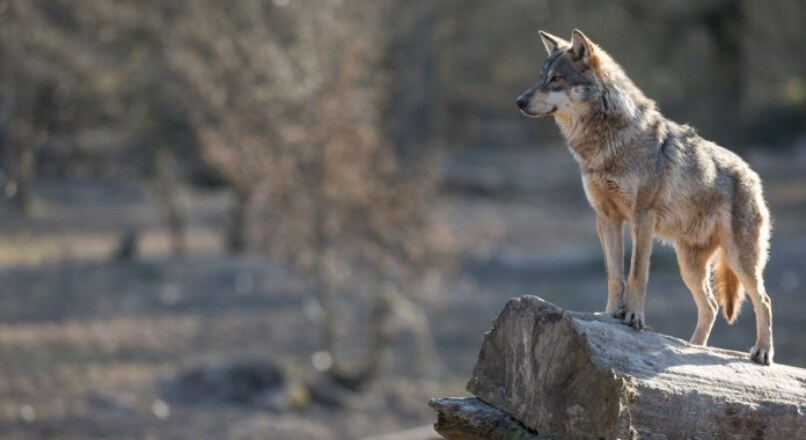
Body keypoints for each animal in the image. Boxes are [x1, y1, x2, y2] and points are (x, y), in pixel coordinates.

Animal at [516, 29, 774, 365]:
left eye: (556, 79)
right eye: (541, 77)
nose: (519, 101)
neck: (607, 144)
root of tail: (752, 173)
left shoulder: (642, 217)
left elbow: (637, 272)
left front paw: (634, 317)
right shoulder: (606, 218)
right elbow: (615, 275)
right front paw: (610, 315)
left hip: (739, 259)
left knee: (763, 299)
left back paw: (762, 351)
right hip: (690, 266)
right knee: (711, 306)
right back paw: (691, 349)